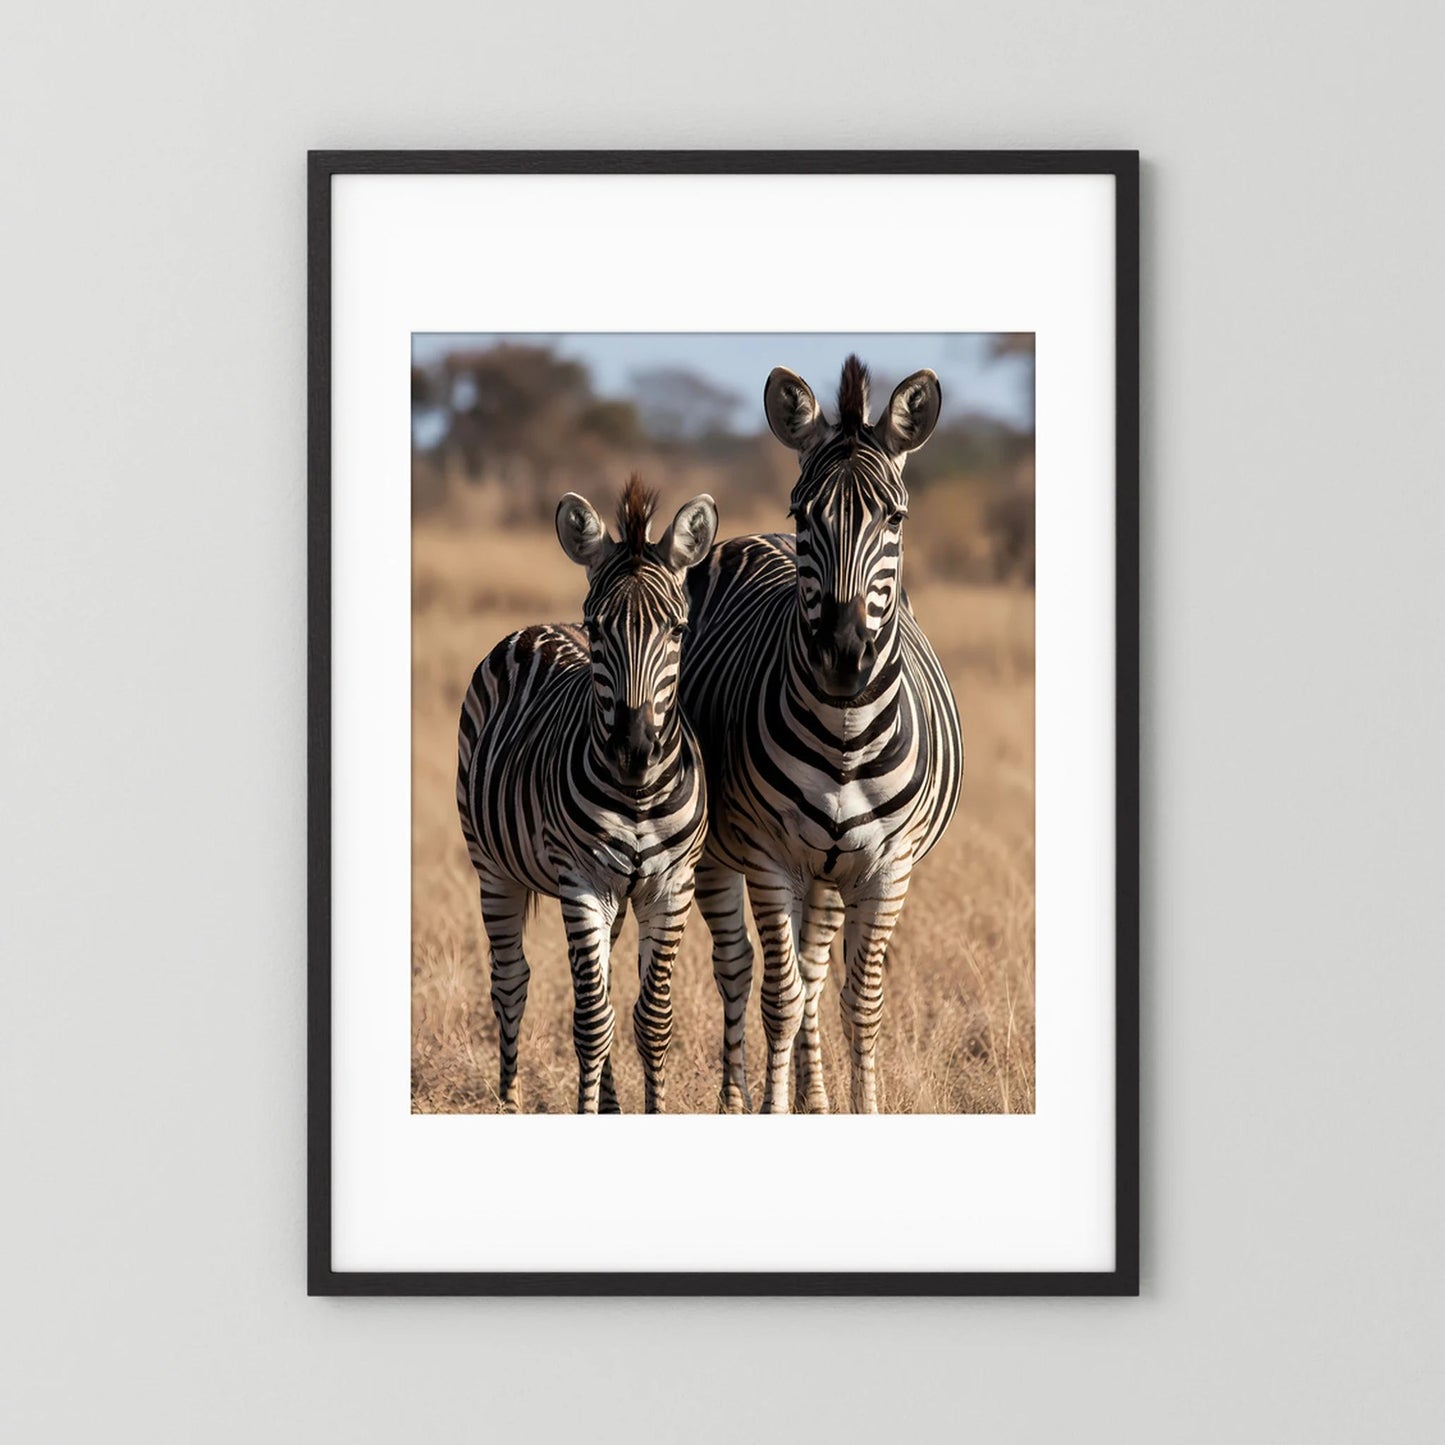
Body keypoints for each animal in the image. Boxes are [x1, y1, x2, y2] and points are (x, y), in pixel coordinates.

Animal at [456, 477, 718, 1113]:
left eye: (678, 631)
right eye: (599, 629)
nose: (634, 746)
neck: (640, 795)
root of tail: (534, 628)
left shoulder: (672, 886)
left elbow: (651, 1019)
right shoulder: (581, 882)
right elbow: (592, 1021)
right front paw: (585, 1109)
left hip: (617, 899)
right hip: (489, 863)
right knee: (511, 981)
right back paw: (509, 1103)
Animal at [681, 356, 963, 1114]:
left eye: (895, 517)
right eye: (803, 513)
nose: (843, 653)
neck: (845, 735)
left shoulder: (887, 867)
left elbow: (857, 1002)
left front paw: (858, 1107)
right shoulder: (767, 855)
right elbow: (776, 997)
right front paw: (769, 1107)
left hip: (831, 872)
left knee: (811, 970)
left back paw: (816, 1098)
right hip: (720, 853)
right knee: (737, 969)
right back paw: (736, 1099)